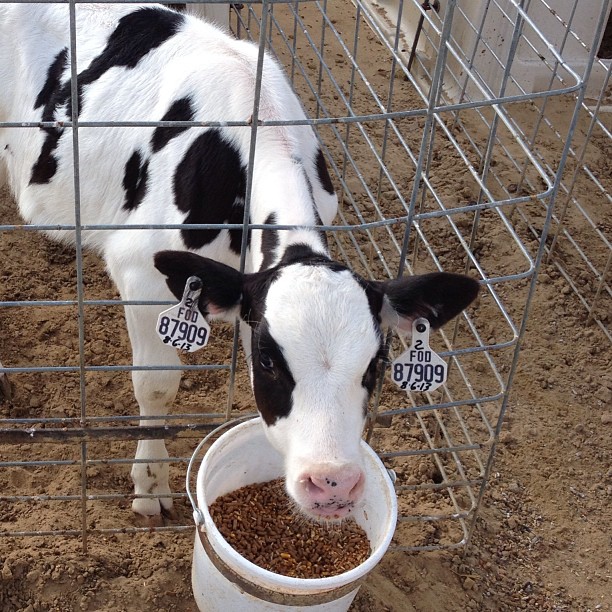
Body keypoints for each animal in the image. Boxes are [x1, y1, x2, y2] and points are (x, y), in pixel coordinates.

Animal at [0, 3, 478, 520]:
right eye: (269, 360)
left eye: (377, 363)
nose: (331, 483)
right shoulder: (140, 271)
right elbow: (156, 384)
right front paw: (150, 486)